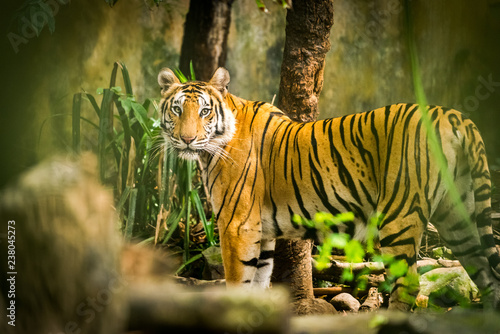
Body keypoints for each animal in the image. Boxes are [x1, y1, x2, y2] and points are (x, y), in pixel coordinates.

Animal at [158, 66, 500, 310]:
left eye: (204, 111)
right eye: (177, 110)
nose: (187, 139)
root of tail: (456, 117)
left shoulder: (236, 226)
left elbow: (237, 285)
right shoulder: (261, 233)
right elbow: (257, 284)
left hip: (401, 219)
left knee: (409, 285)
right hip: (460, 217)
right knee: (487, 275)